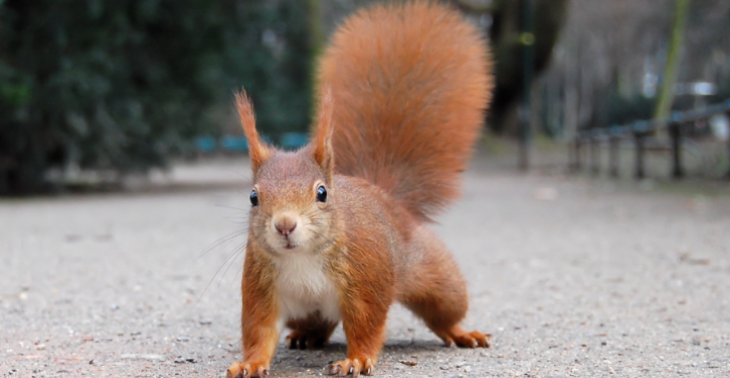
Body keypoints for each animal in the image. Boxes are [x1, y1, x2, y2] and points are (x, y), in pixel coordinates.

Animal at [225, 1, 492, 376]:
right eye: (253, 197)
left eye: (322, 193)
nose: (285, 225)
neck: (302, 258)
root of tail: (385, 195)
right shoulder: (261, 287)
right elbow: (259, 330)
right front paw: (249, 364)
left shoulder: (366, 279)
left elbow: (365, 324)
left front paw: (356, 358)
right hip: (306, 311)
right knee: (318, 322)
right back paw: (306, 337)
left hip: (436, 276)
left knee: (444, 311)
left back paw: (461, 332)